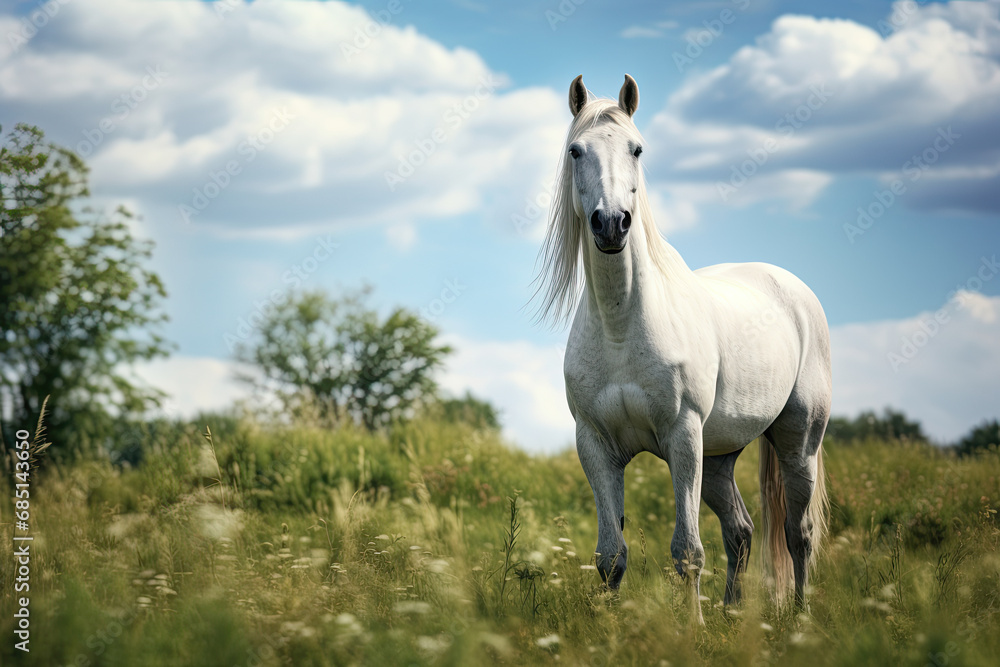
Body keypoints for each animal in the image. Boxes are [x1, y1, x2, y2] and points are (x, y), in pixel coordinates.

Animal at [534, 74, 831, 621]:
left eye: (636, 148)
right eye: (575, 151)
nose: (612, 223)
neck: (622, 328)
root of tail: (793, 289)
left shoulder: (682, 437)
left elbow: (688, 551)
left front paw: (691, 627)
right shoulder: (596, 446)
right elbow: (610, 555)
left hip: (798, 442)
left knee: (797, 534)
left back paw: (800, 616)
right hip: (717, 458)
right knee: (741, 532)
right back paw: (732, 614)